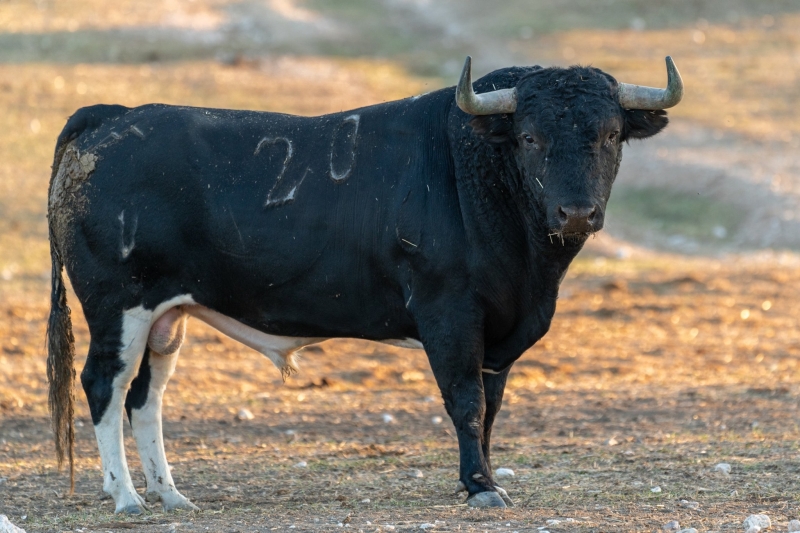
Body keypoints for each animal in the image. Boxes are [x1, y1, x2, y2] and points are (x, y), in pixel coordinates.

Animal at [45, 58, 680, 512]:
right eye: (528, 138)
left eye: (611, 135)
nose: (577, 213)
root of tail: (111, 115)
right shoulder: (448, 314)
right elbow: (466, 401)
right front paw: (480, 486)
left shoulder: (500, 332)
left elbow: (492, 405)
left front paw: (483, 478)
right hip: (118, 305)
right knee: (103, 386)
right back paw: (127, 497)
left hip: (165, 317)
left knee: (144, 397)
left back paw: (172, 495)